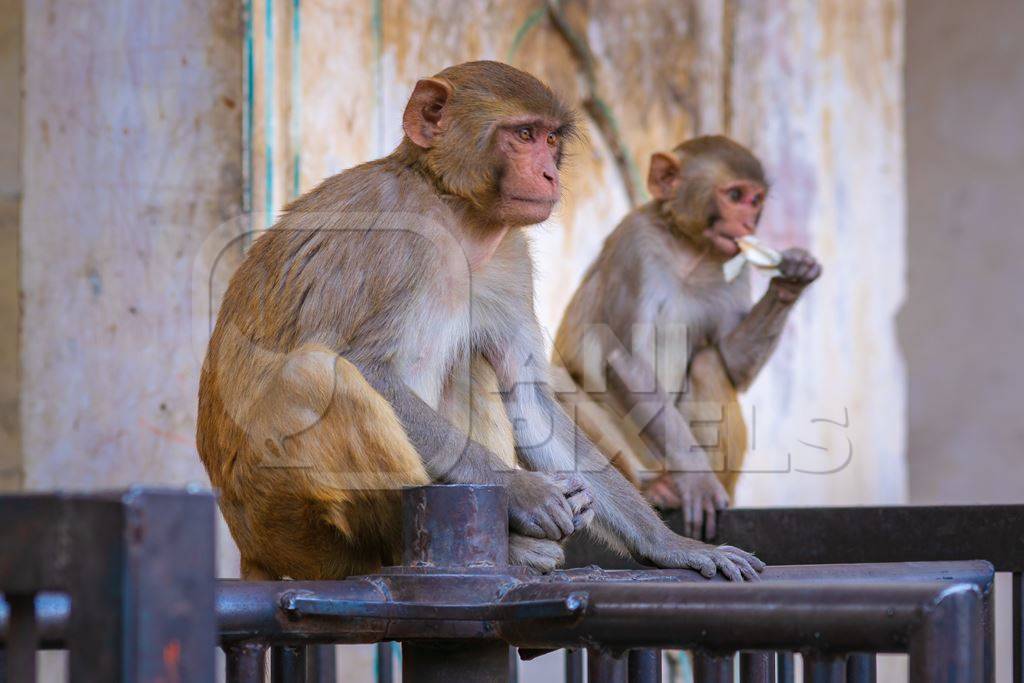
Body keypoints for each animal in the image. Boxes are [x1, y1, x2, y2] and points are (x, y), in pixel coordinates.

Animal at [197, 61, 761, 581]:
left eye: (551, 138)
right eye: (524, 135)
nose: (551, 174)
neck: (457, 214)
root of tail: (247, 544)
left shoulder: (511, 258)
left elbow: (528, 399)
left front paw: (672, 545)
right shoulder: (395, 236)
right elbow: (368, 367)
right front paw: (525, 491)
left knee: (471, 364)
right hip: (281, 519)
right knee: (317, 377)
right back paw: (457, 546)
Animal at [552, 133, 823, 540]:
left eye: (755, 199)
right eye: (735, 195)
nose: (748, 220)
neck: (688, 249)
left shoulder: (733, 268)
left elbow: (732, 364)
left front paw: (792, 278)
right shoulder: (636, 244)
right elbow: (625, 361)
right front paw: (697, 480)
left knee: (708, 362)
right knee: (553, 379)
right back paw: (653, 489)